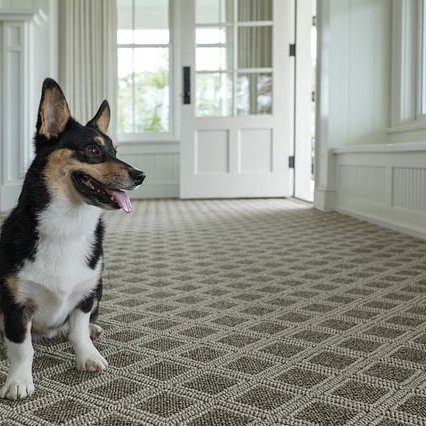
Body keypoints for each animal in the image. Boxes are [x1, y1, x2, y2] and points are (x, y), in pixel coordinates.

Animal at [0, 79, 145, 400]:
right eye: (92, 149)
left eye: (115, 150)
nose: (141, 175)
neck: (68, 224)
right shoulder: (15, 304)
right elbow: (22, 349)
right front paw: (18, 381)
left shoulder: (86, 294)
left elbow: (77, 331)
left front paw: (88, 356)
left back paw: (93, 329)